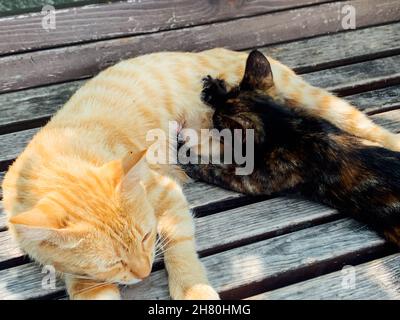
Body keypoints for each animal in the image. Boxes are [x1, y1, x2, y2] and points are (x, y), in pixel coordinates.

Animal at [183, 49, 400, 245]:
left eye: (216, 122)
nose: (211, 120)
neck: (287, 126)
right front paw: (215, 89)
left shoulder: (253, 180)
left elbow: (214, 170)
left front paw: (186, 157)